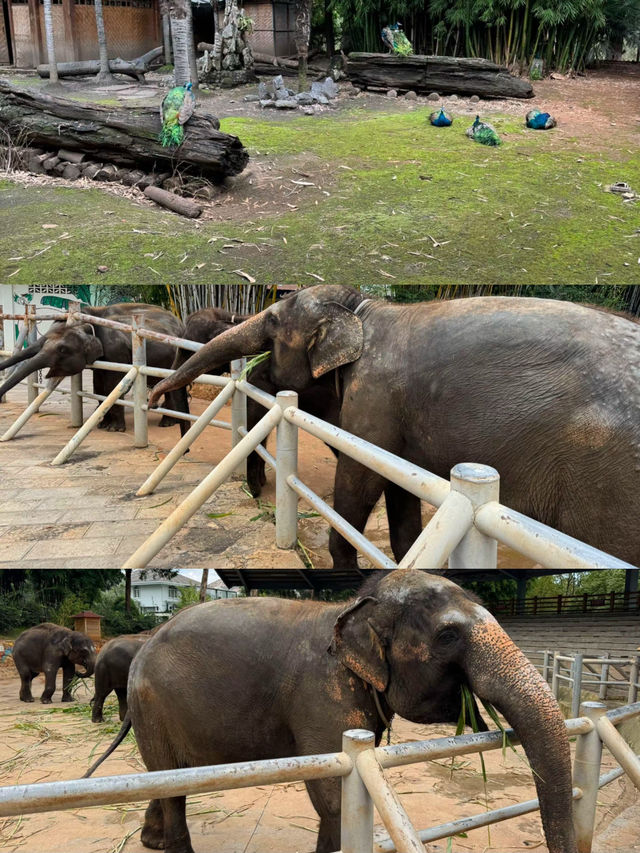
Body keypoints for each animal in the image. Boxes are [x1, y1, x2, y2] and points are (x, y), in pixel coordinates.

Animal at [0, 302, 190, 432]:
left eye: (62, 349)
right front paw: (103, 425)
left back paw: (167, 423)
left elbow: (112, 384)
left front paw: (114, 429)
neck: (93, 314)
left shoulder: (116, 351)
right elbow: (99, 384)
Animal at [82, 564, 576, 852]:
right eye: (449, 636)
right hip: (153, 704)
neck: (354, 605)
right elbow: (334, 797)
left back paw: (150, 842)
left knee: (164, 777)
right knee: (173, 787)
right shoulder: (322, 691)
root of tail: (144, 647)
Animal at [146, 284, 640, 564]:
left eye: (271, 320)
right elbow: (400, 489)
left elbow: (362, 478)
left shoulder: (375, 395)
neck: (364, 311)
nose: (150, 398)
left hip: (607, 483)